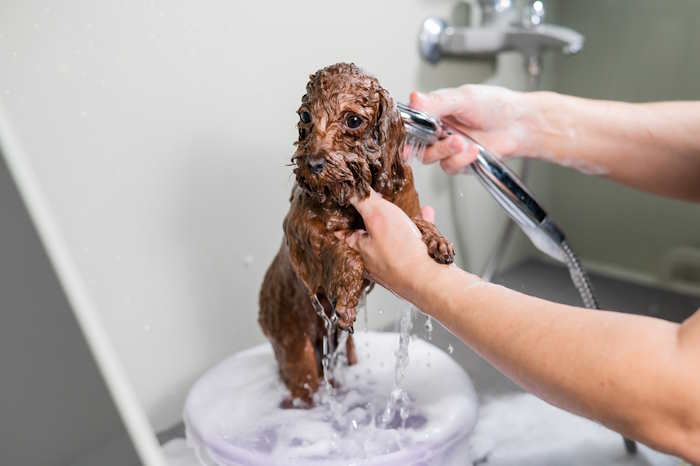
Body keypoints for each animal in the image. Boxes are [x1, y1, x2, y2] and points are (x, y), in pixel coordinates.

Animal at [258, 63, 454, 406]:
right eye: (305, 116)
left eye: (353, 120)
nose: (313, 163)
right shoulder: (300, 229)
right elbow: (343, 252)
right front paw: (347, 300)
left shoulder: (401, 201)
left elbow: (418, 221)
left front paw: (438, 240)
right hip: (295, 350)